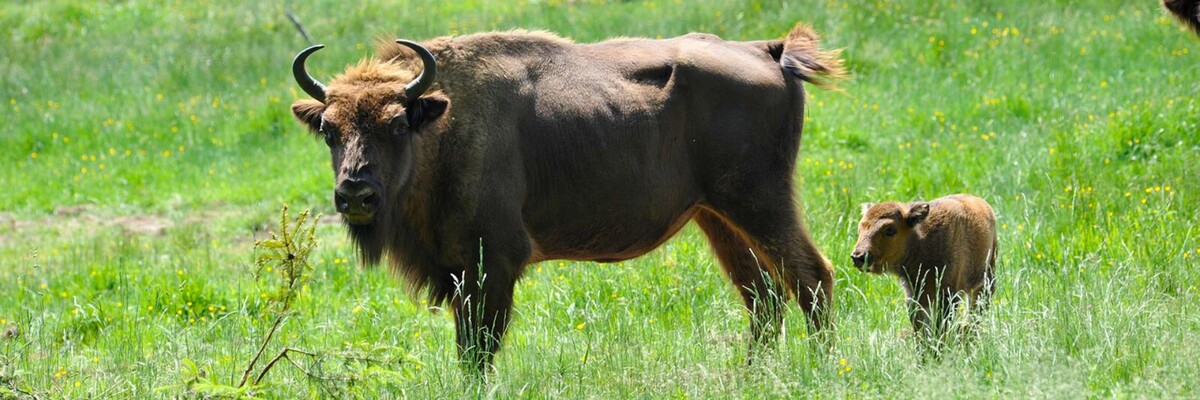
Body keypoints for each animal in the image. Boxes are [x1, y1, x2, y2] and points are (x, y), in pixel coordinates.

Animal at [289, 22, 846, 373]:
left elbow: (478, 350)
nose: (355, 193)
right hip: (717, 217)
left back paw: (821, 369)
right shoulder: (460, 271)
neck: (442, 122)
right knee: (764, 297)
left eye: (397, 125)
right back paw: (751, 375)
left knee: (810, 277)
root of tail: (767, 51)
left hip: (760, 203)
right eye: (329, 131)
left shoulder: (492, 264)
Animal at [850, 194, 997, 351]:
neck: (921, 241)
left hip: (986, 283)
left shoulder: (948, 296)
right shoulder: (915, 297)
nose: (858, 257)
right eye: (860, 227)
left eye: (890, 230)